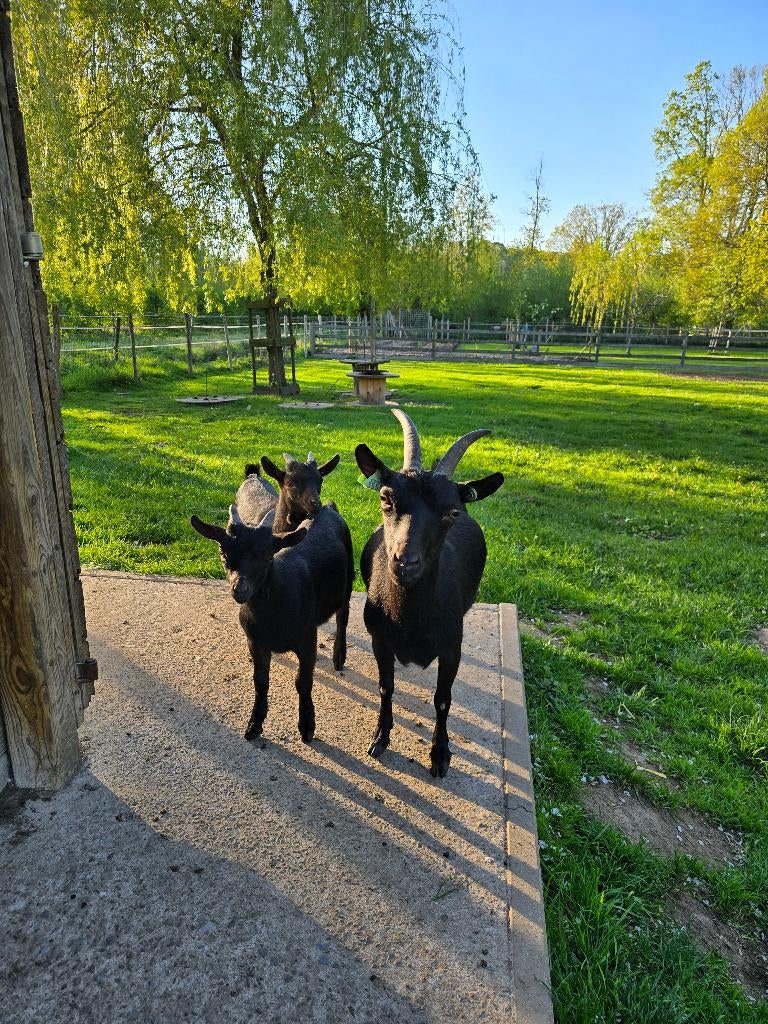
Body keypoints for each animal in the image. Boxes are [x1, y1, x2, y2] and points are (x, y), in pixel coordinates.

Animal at [190, 491, 353, 744]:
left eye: (268, 556)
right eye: (223, 553)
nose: (240, 589)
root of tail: (328, 508)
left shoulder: (307, 640)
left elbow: (303, 682)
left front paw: (307, 727)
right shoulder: (256, 643)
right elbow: (260, 681)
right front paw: (254, 724)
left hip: (349, 577)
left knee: (343, 614)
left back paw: (339, 655)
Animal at [355, 409, 503, 777]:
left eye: (451, 512)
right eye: (386, 498)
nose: (405, 561)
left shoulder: (452, 647)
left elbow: (443, 698)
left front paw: (440, 754)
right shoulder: (380, 641)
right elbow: (386, 685)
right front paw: (380, 738)